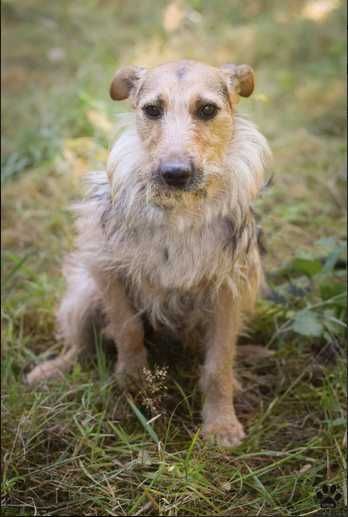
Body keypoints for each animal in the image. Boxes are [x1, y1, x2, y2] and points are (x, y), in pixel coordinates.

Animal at [27, 60, 272, 446]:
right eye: (152, 110)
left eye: (207, 110)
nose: (175, 173)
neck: (181, 210)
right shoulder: (108, 270)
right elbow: (127, 331)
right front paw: (132, 388)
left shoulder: (228, 289)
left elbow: (219, 364)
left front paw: (221, 423)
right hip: (83, 296)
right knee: (79, 346)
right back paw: (53, 369)